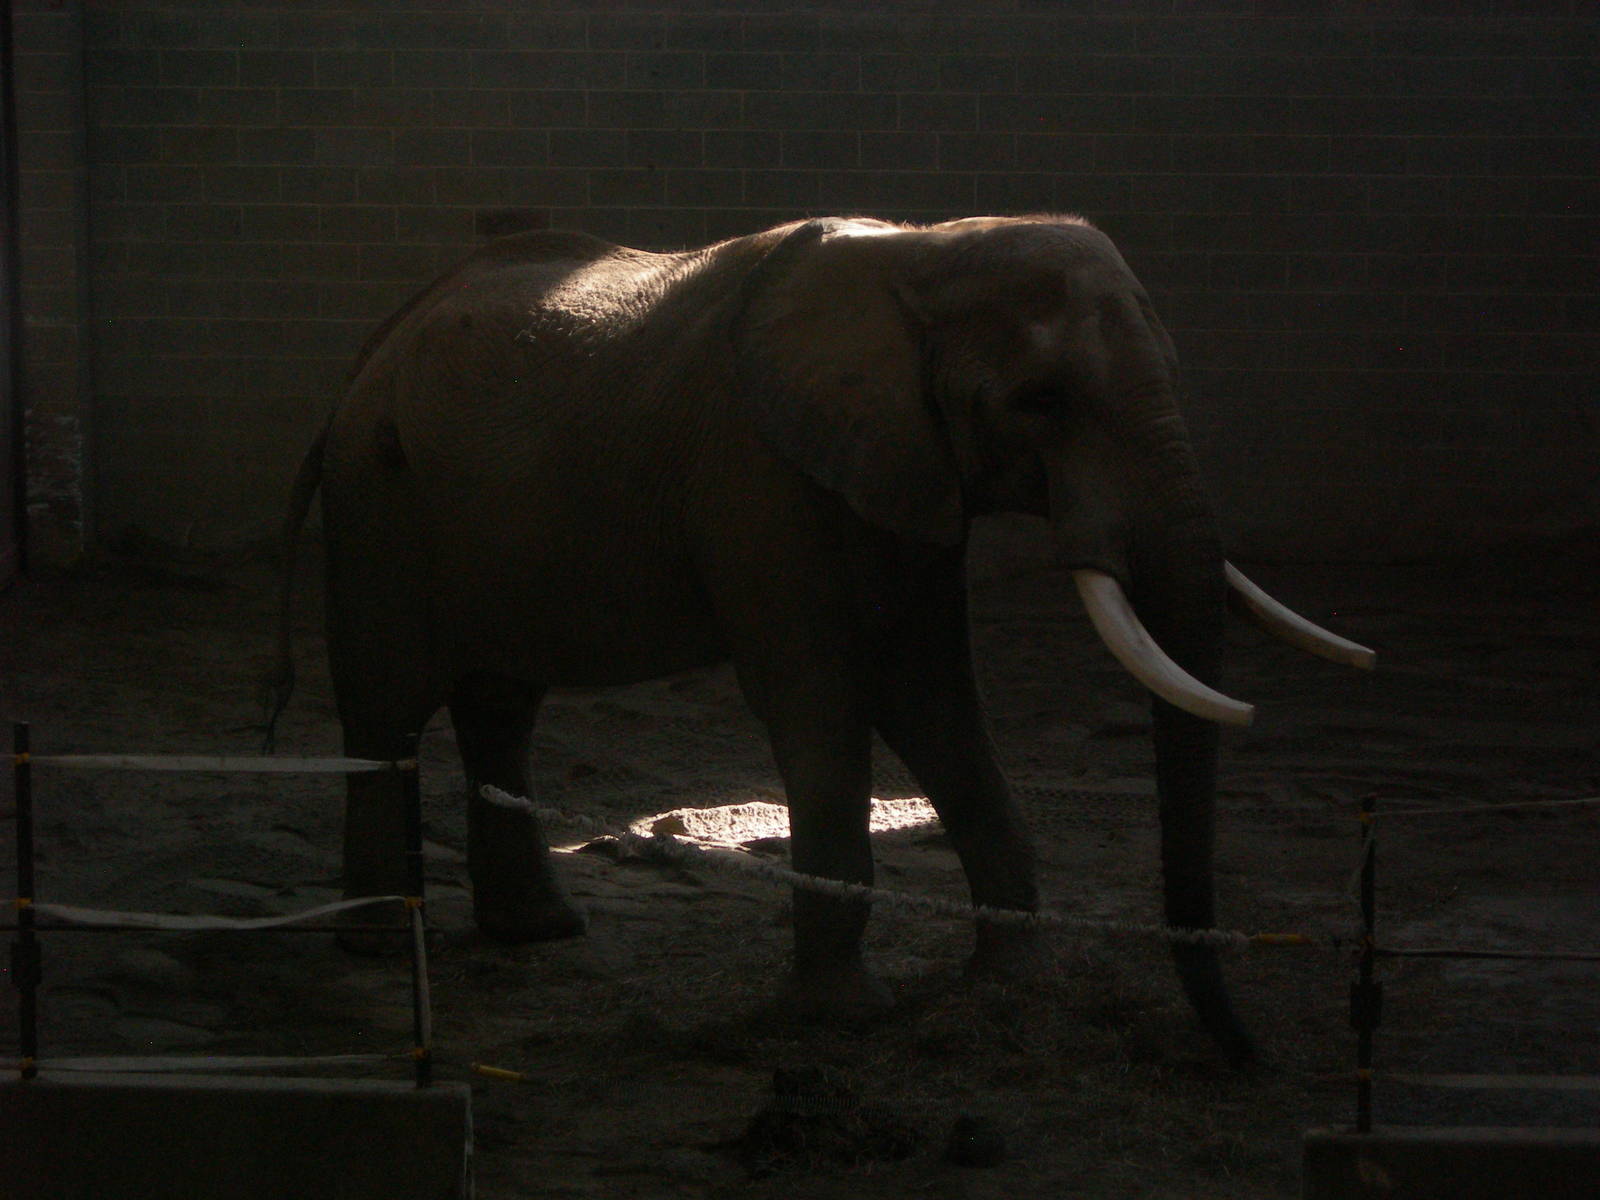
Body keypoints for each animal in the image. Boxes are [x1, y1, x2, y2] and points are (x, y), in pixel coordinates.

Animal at [271, 215, 1373, 1064]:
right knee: (387, 705)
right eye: (1042, 400)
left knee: (501, 702)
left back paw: (538, 933)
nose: (1251, 1057)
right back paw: (378, 947)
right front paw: (842, 1018)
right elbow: (820, 699)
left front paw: (1013, 981)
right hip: (379, 502)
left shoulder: (906, 475)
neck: (924, 256)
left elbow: (934, 696)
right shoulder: (760, 479)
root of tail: (366, 356)